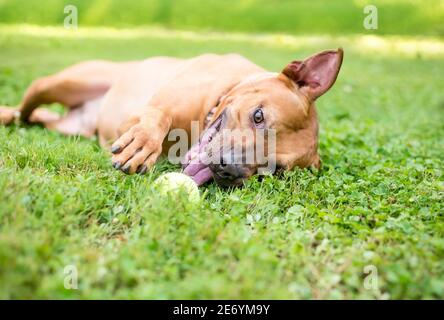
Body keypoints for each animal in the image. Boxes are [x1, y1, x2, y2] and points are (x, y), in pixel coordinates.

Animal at [0, 48, 344, 186]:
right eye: (258, 116)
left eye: (276, 170)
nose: (229, 169)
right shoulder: (149, 109)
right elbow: (158, 116)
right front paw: (143, 143)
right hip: (64, 83)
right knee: (26, 104)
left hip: (66, 127)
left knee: (32, 118)